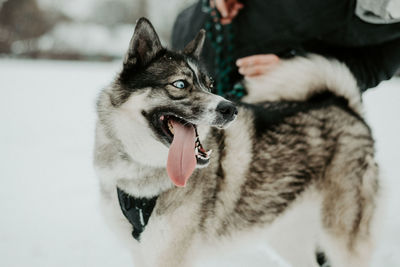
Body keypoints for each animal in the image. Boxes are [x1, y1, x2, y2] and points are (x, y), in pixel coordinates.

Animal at [93, 18, 378, 267]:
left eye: (209, 85)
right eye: (180, 84)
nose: (230, 109)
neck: (141, 176)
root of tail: (343, 106)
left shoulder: (170, 255)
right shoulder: (143, 253)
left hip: (341, 240)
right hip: (288, 237)